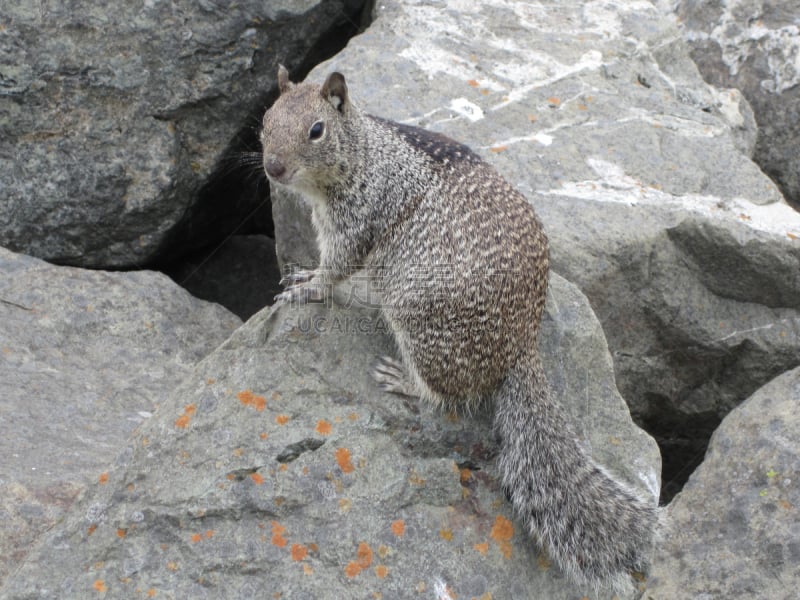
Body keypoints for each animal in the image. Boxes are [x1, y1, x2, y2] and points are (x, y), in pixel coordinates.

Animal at [260, 68, 656, 592]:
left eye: (316, 130)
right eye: (265, 120)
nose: (273, 169)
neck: (364, 152)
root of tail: (520, 348)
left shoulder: (356, 221)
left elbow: (337, 267)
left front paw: (307, 286)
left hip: (419, 322)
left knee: (447, 393)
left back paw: (404, 380)